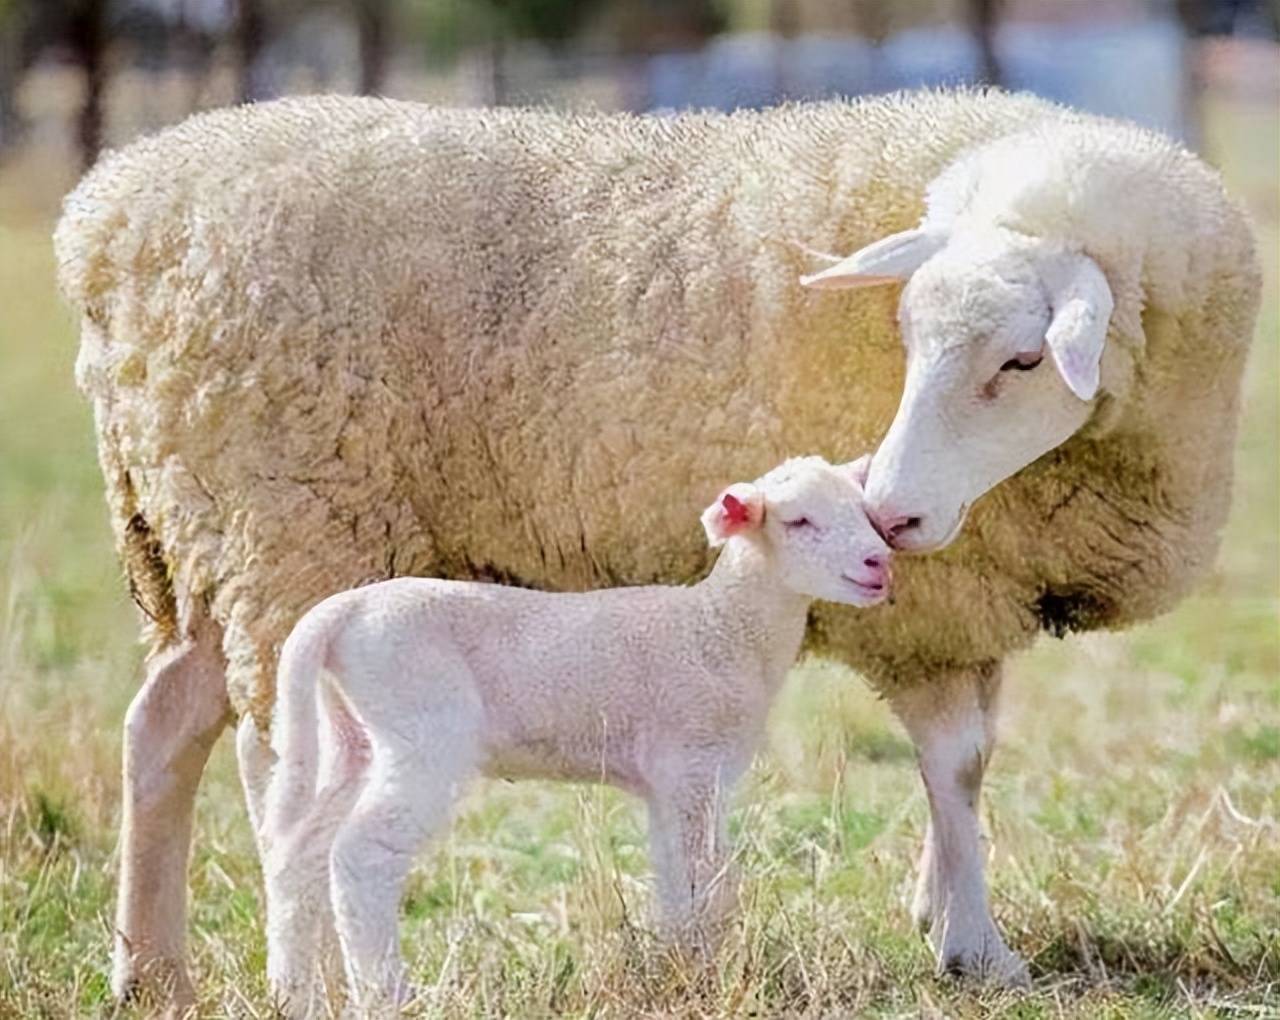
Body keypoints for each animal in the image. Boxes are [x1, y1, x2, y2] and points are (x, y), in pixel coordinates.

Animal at [262, 458, 890, 1013]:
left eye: (864, 512)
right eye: (798, 521)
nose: (878, 562)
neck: (720, 628)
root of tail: (344, 611)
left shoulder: (672, 783)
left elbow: (677, 878)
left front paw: (679, 968)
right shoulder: (692, 764)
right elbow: (706, 880)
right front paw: (704, 975)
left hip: (354, 738)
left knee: (299, 854)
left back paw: (292, 997)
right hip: (422, 728)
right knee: (361, 853)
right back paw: (388, 996)